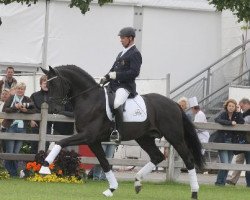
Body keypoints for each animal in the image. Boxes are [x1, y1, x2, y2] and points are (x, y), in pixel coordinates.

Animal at [38, 65, 203, 198]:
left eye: (55, 84)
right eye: (46, 85)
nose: (53, 109)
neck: (88, 99)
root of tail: (174, 104)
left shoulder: (87, 136)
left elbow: (61, 142)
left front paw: (45, 166)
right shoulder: (93, 141)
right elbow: (104, 163)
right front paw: (111, 189)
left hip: (175, 137)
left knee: (188, 160)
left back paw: (194, 192)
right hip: (144, 138)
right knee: (157, 156)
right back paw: (137, 182)